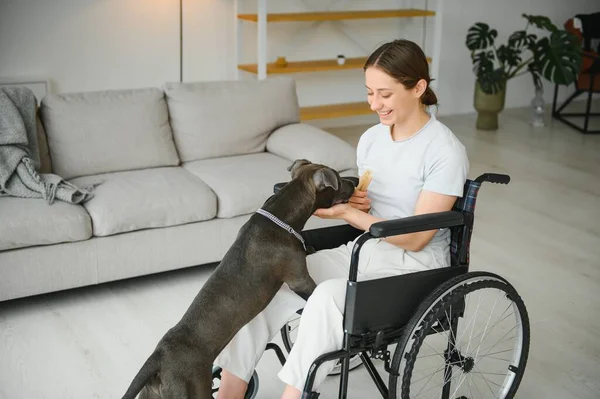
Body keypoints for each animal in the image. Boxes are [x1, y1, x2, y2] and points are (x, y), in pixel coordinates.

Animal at [122, 160, 356, 399]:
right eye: (338, 179)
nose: (355, 182)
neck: (281, 216)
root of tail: (158, 357)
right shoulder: (300, 279)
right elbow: (314, 292)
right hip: (194, 389)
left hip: (152, 393)